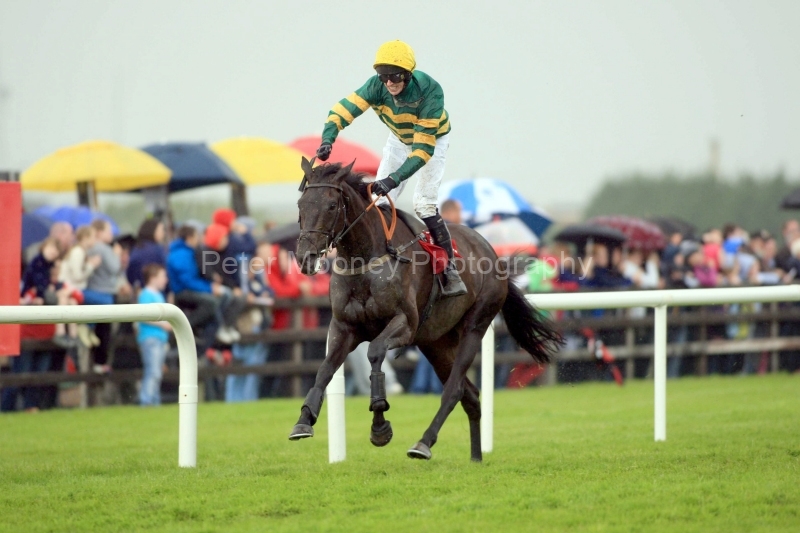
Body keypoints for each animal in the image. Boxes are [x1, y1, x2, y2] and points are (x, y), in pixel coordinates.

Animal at [289, 158, 562, 461]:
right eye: (301, 204)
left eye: (331, 205)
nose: (305, 257)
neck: (366, 259)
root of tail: (491, 252)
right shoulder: (344, 327)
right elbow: (325, 369)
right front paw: (304, 420)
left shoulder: (405, 324)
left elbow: (375, 353)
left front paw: (380, 424)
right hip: (436, 343)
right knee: (470, 395)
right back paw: (476, 457)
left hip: (475, 325)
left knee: (454, 389)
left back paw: (423, 443)